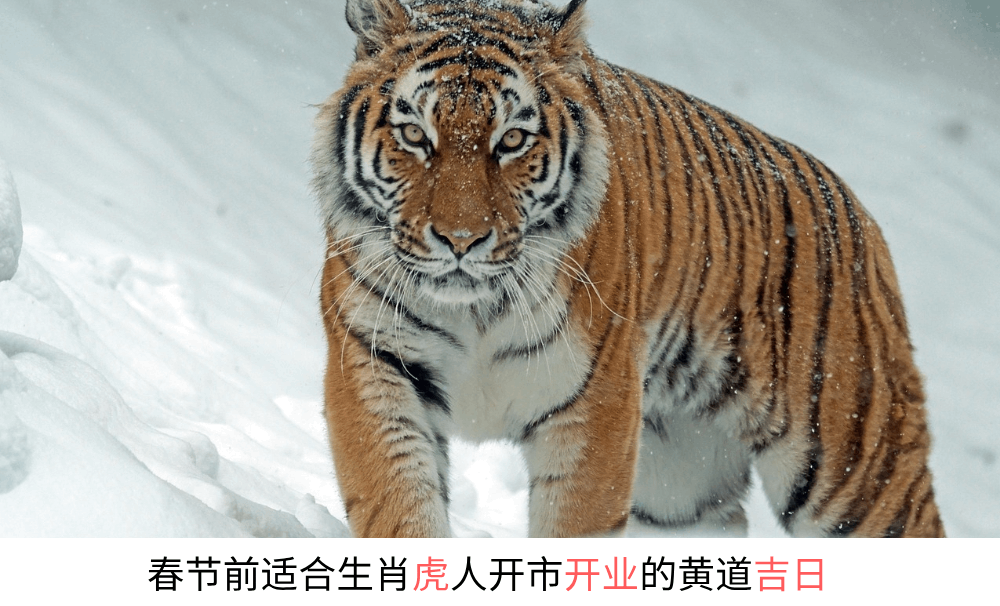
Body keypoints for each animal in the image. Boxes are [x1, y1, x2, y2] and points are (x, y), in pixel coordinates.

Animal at [311, 0, 945, 538]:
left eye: (511, 140)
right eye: (414, 134)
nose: (461, 240)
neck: (475, 310)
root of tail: (860, 216)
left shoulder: (596, 405)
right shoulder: (375, 365)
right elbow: (400, 509)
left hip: (855, 469)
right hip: (680, 487)